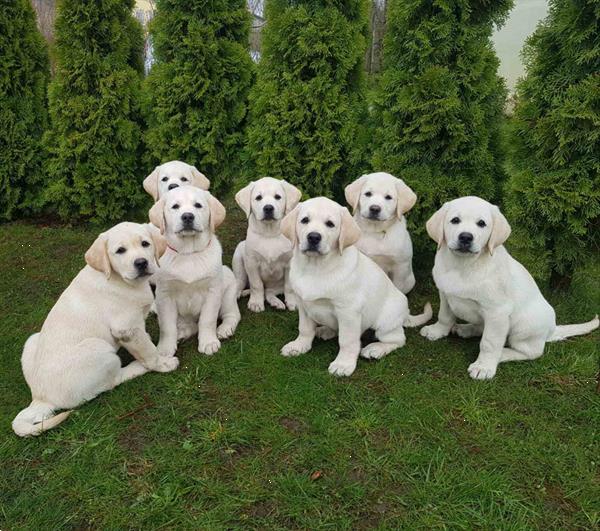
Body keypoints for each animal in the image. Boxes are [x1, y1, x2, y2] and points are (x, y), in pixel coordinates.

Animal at [12, 222, 176, 438]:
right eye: (120, 251)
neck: (119, 280)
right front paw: (162, 363)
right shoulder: (126, 328)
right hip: (99, 347)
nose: (141, 263)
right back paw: (137, 367)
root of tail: (40, 398)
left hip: (32, 340)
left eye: (145, 244)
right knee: (113, 381)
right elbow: (148, 351)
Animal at [149, 187, 240, 358]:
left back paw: (225, 329)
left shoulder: (212, 292)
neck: (189, 253)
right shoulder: (164, 295)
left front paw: (208, 342)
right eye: (175, 206)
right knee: (189, 326)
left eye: (198, 205)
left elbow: (207, 320)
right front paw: (164, 349)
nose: (187, 216)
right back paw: (182, 333)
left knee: (232, 315)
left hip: (227, 291)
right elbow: (167, 326)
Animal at [232, 179, 302, 312]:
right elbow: (256, 285)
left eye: (278, 197)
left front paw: (292, 301)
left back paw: (276, 302)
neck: (269, 233)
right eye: (258, 197)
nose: (268, 208)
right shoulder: (252, 263)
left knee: (269, 292)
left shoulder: (290, 263)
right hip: (239, 257)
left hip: (276, 285)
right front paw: (256, 303)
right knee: (240, 281)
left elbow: (289, 286)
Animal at [280, 197, 432, 376]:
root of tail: (406, 313)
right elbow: (304, 329)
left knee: (398, 339)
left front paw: (343, 364)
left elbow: (347, 341)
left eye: (330, 224)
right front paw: (299, 346)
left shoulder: (348, 311)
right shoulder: (303, 305)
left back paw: (375, 349)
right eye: (304, 220)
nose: (313, 237)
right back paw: (325, 330)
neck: (316, 268)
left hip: (385, 323)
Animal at [420, 197, 596, 380]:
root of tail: (551, 329)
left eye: (481, 223)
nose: (466, 237)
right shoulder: (445, 294)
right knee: (481, 327)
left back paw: (501, 354)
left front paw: (484, 366)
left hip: (523, 328)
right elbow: (444, 316)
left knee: (531, 352)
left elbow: (489, 342)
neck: (463, 265)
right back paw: (466, 329)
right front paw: (437, 331)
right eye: (455, 220)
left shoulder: (497, 311)